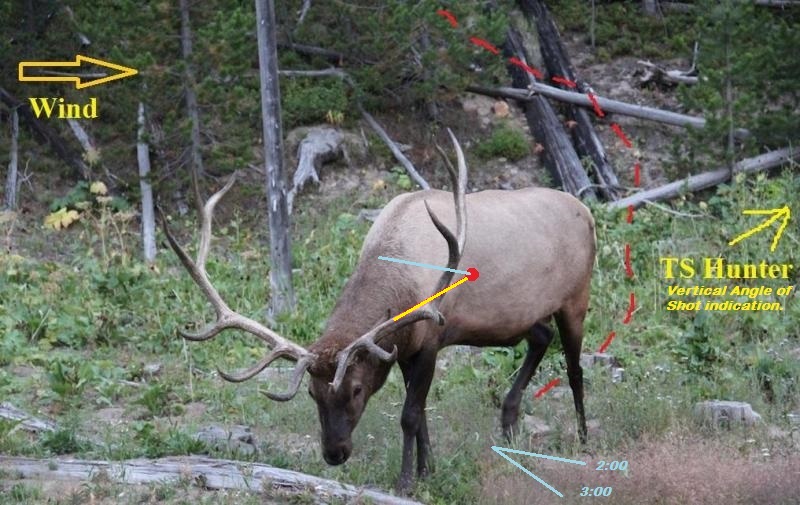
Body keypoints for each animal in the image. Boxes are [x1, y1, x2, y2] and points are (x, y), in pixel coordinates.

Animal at [161, 130, 596, 493]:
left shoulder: (431, 338)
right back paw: (508, 421)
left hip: (576, 297)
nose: (334, 452)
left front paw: (406, 480)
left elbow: (409, 415)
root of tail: (586, 209)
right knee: (541, 337)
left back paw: (584, 439)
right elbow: (421, 414)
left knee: (575, 369)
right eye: (312, 393)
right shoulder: (402, 348)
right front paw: (427, 470)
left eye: (355, 389)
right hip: (524, 316)